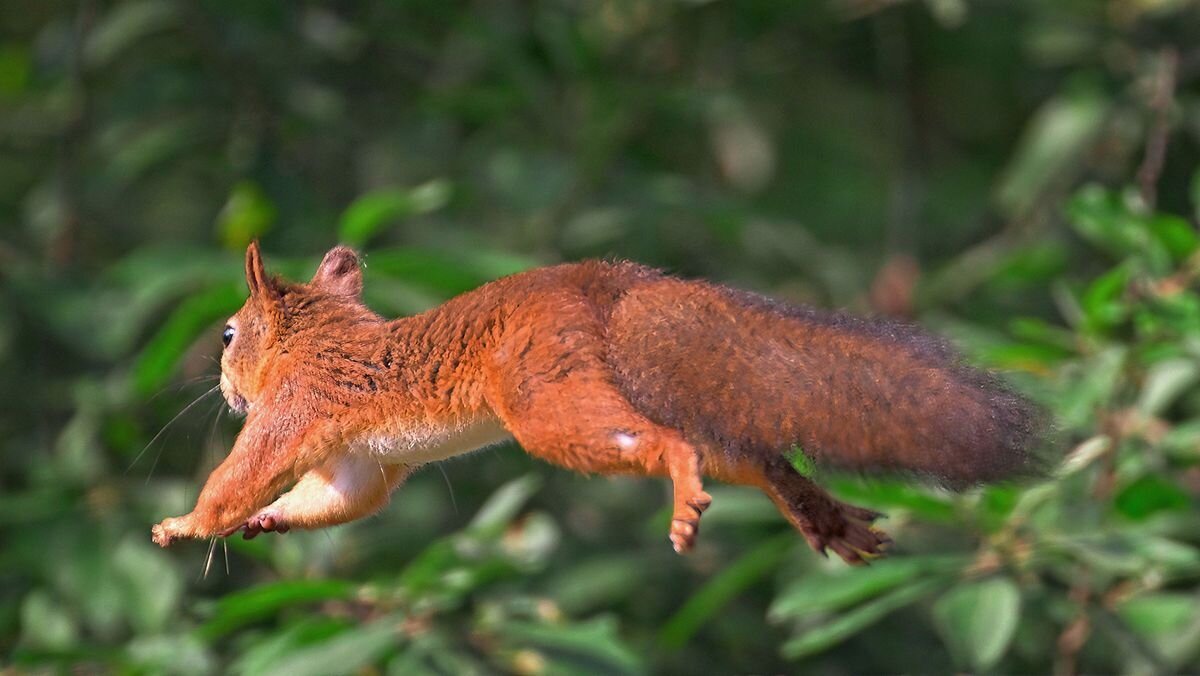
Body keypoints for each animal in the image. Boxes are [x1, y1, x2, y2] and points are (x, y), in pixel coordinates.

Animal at [150, 246, 1041, 564]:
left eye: (227, 334)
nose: (223, 389)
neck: (322, 337)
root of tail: (607, 284)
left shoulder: (295, 409)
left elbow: (243, 474)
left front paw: (188, 524)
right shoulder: (359, 463)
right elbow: (336, 499)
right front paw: (269, 521)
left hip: (548, 402)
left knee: (666, 443)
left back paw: (684, 498)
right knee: (741, 453)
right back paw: (823, 516)